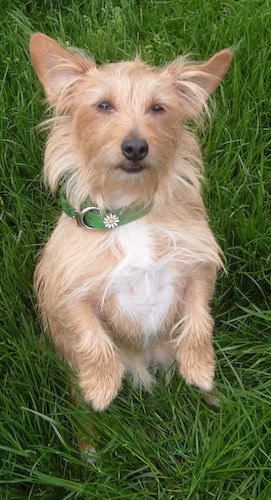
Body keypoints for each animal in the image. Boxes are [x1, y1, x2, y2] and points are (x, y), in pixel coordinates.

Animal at [30, 33, 234, 412]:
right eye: (103, 106)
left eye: (158, 108)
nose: (136, 147)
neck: (126, 212)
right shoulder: (68, 289)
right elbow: (89, 335)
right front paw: (101, 387)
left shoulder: (198, 267)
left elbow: (200, 321)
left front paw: (200, 369)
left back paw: (216, 399)